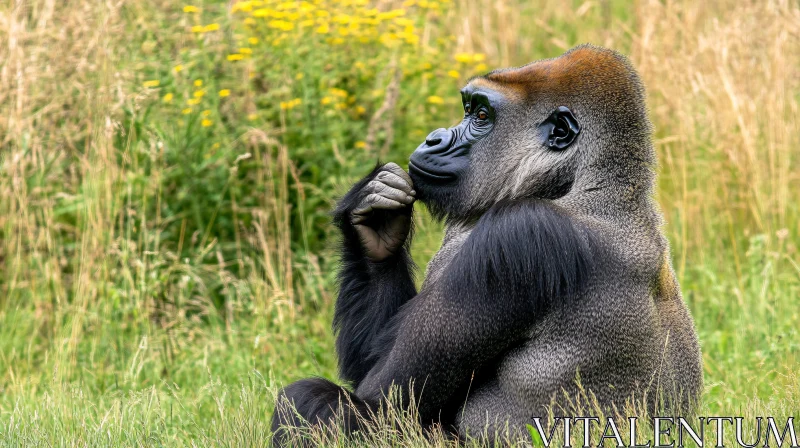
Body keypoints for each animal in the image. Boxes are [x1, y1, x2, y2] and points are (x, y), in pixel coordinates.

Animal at [268, 44, 700, 444]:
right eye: (468, 108)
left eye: (480, 116)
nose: (433, 139)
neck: (592, 185)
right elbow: (369, 361)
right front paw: (373, 221)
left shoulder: (517, 235)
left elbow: (383, 402)